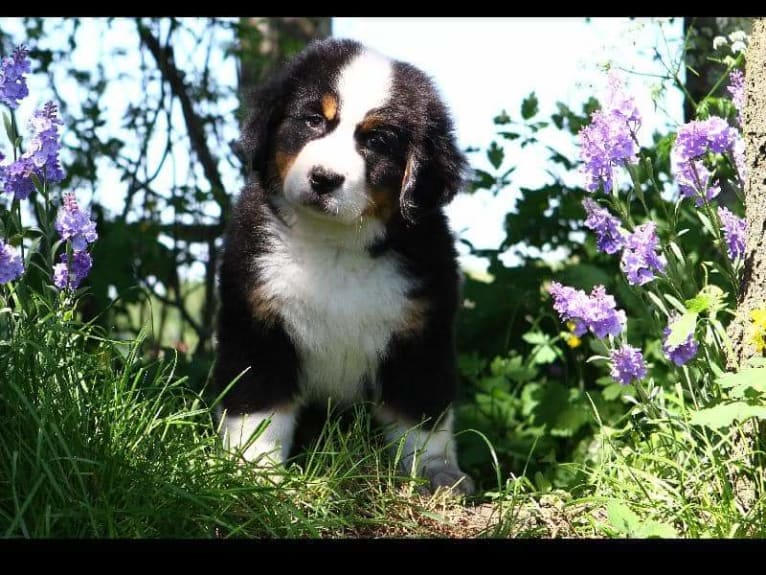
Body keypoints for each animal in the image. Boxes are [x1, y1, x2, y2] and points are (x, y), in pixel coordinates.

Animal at [214, 37, 474, 496]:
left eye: (377, 140)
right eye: (314, 119)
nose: (324, 178)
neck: (335, 245)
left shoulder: (420, 333)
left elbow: (421, 415)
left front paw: (436, 473)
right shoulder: (257, 323)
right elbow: (259, 410)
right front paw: (254, 472)